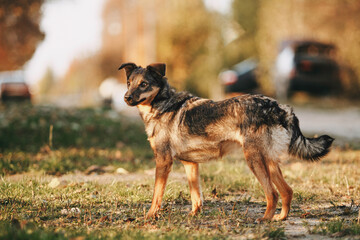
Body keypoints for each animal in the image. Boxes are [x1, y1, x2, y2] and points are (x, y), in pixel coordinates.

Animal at [119, 62, 334, 221]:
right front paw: (194, 215)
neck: (161, 105)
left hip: (254, 159)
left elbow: (157, 194)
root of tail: (282, 108)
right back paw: (280, 218)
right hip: (269, 162)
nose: (126, 97)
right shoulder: (190, 164)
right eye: (129, 82)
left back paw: (265, 219)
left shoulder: (163, 161)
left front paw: (150, 215)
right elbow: (196, 196)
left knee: (272, 193)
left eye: (143, 84)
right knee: (287, 191)